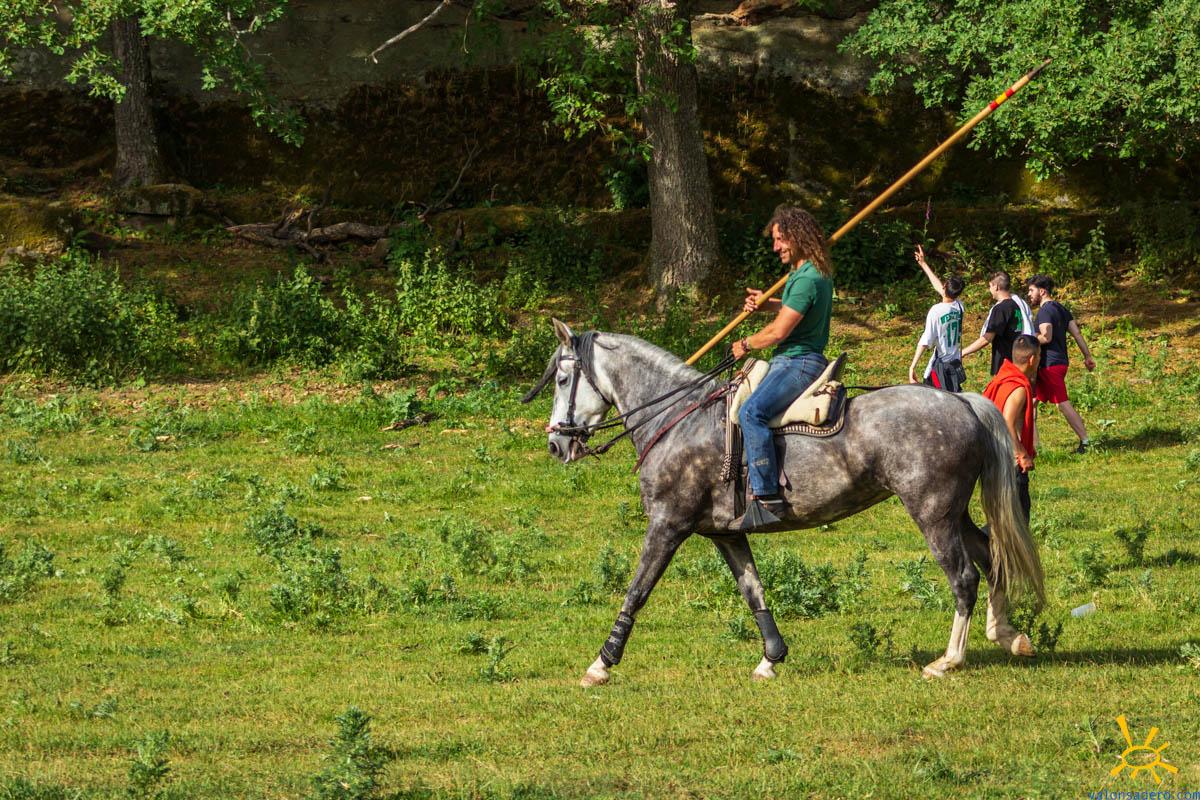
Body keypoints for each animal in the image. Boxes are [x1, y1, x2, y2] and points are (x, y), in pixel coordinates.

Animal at [523, 319, 1045, 686]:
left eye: (563, 379)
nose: (556, 445)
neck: (677, 418)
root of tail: (961, 402)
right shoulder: (725, 534)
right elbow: (753, 590)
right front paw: (771, 658)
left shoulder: (667, 525)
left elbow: (637, 590)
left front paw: (601, 663)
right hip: (954, 512)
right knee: (991, 556)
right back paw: (1008, 635)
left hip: (932, 513)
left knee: (964, 576)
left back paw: (949, 660)